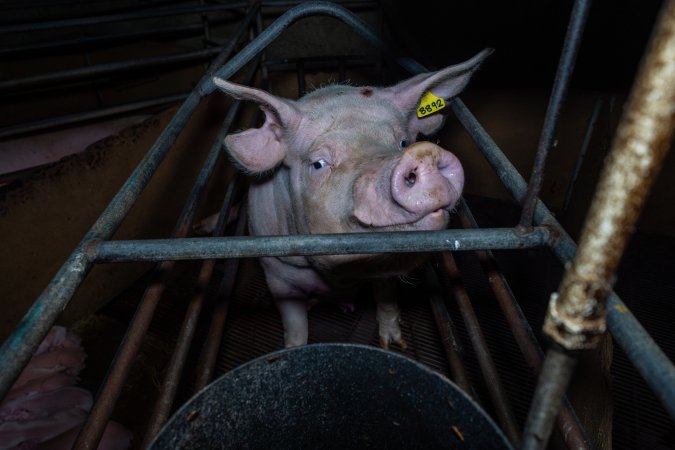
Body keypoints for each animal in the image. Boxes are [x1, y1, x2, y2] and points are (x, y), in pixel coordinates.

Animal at [215, 51, 492, 350]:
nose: (423, 154)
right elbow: (295, 323)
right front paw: (294, 348)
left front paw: (394, 345)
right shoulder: (276, 273)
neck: (339, 277)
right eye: (318, 163)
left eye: (403, 142)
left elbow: (386, 299)